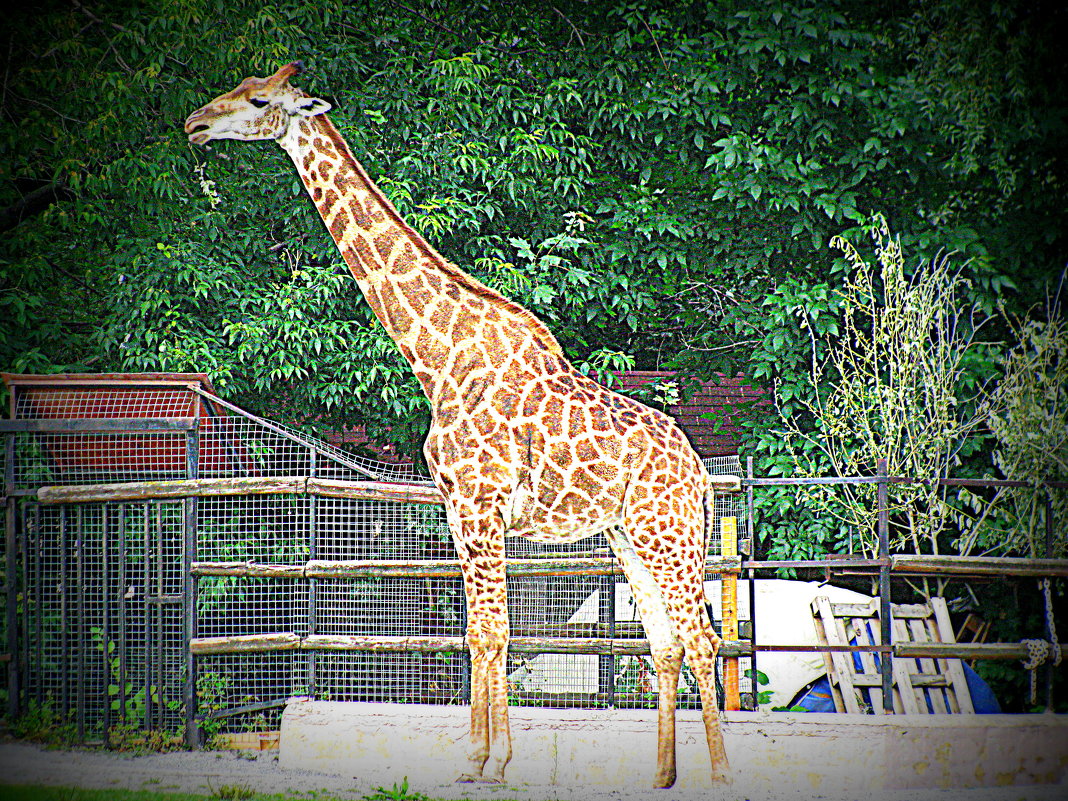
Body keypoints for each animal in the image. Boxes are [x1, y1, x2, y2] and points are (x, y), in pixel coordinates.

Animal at [187, 62, 730, 790]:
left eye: (257, 99)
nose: (195, 123)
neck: (436, 354)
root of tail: (697, 469)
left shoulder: (479, 503)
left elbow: (490, 632)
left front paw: (487, 760)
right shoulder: (459, 509)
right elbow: (478, 631)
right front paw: (484, 757)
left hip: (668, 531)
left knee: (702, 638)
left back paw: (722, 775)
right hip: (629, 536)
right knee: (665, 642)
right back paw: (662, 777)